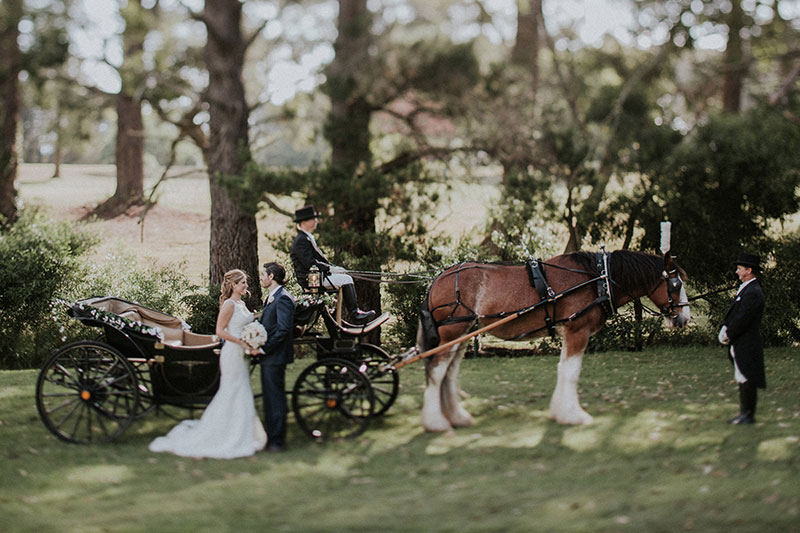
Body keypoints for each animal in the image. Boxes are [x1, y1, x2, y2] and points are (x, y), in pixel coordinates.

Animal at [416, 250, 692, 432]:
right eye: (675, 284)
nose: (685, 317)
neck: (597, 279)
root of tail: (437, 280)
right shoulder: (577, 330)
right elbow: (571, 372)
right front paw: (573, 415)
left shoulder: (570, 333)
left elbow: (563, 370)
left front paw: (560, 411)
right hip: (452, 332)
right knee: (436, 370)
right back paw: (436, 422)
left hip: (461, 334)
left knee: (449, 373)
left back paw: (456, 417)